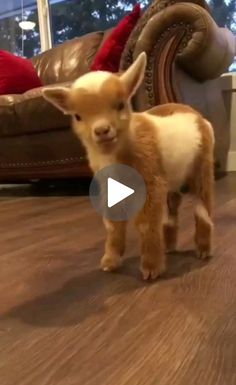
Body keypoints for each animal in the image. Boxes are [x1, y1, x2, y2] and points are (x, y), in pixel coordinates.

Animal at [42, 51, 214, 280]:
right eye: (77, 116)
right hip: (173, 178)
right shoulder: (109, 186)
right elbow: (113, 225)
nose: (102, 130)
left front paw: (151, 269)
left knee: (202, 206)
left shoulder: (151, 181)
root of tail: (197, 116)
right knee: (172, 209)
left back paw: (203, 250)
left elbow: (146, 224)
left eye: (121, 105)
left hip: (202, 165)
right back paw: (169, 247)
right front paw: (110, 262)